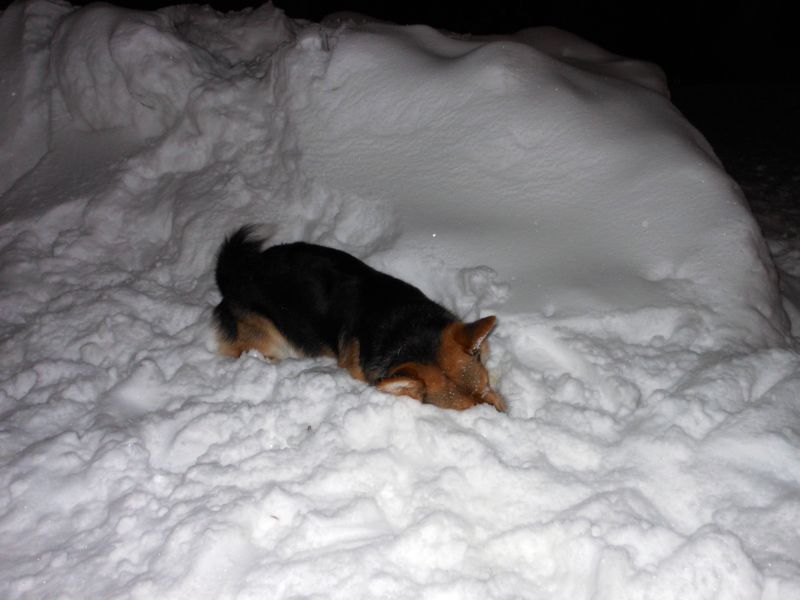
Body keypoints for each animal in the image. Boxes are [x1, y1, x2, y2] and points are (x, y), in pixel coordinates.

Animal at [213, 226, 505, 412]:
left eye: (487, 386)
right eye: (467, 410)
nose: (503, 416)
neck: (406, 332)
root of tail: (236, 274)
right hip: (267, 338)